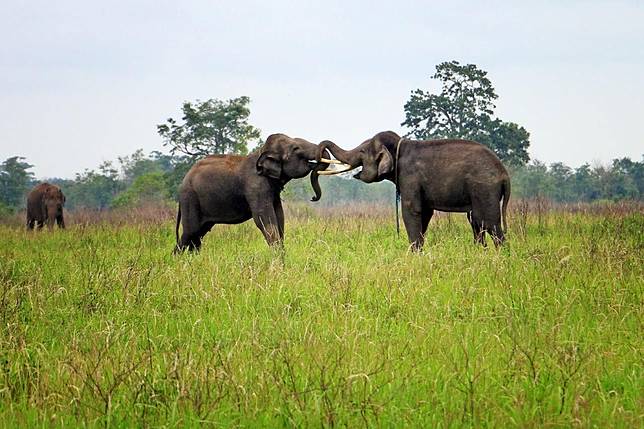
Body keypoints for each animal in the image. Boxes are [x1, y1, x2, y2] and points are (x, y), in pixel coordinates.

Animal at [174, 132, 330, 249]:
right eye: (296, 149)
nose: (313, 198)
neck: (261, 152)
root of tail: (184, 180)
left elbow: (279, 217)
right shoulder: (256, 186)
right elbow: (264, 218)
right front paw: (278, 262)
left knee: (198, 234)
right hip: (190, 198)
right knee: (191, 232)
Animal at [316, 131, 508, 251]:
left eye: (362, 150)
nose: (320, 150)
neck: (399, 145)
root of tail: (504, 174)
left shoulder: (409, 177)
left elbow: (411, 211)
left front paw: (414, 254)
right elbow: (425, 214)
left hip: (484, 189)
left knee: (489, 222)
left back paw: (501, 256)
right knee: (477, 222)